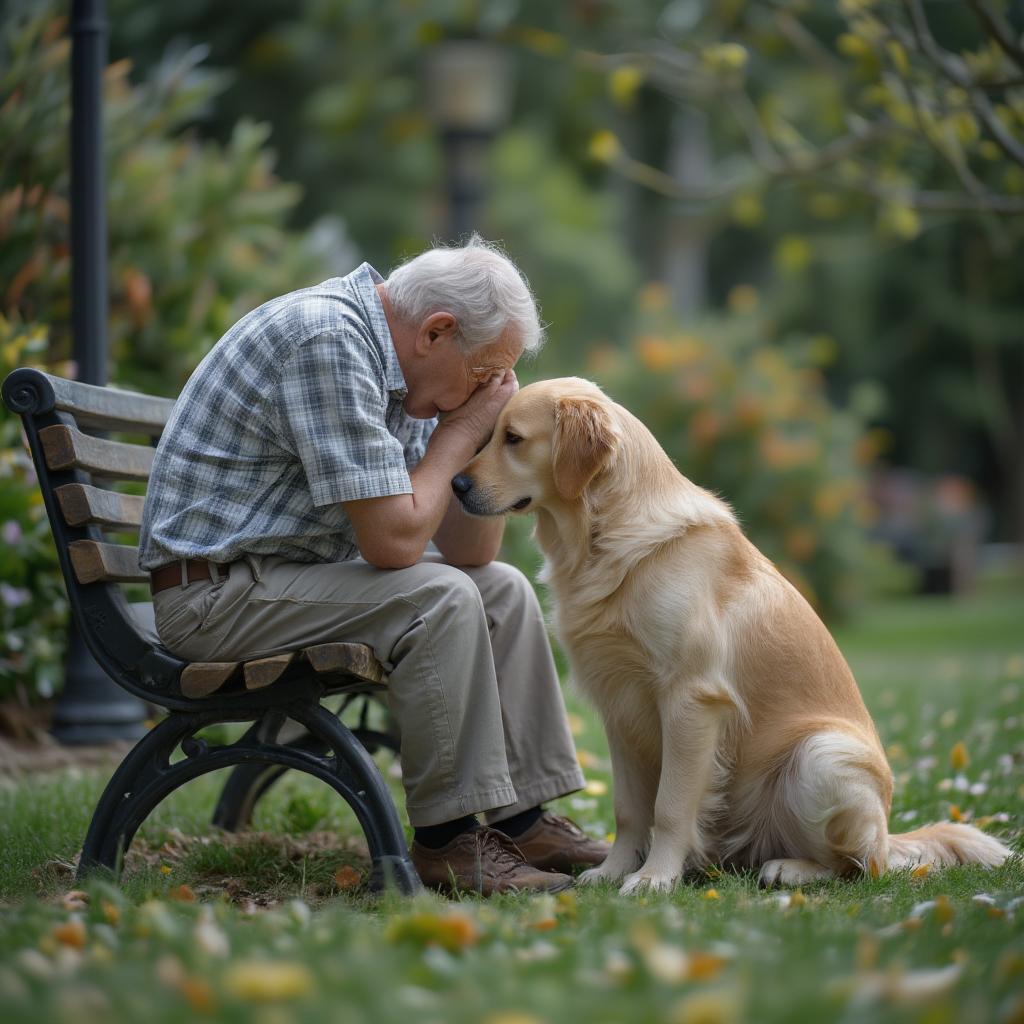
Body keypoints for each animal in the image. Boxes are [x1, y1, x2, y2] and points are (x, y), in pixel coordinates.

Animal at [452, 380, 1011, 892]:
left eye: (513, 438)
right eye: (488, 435)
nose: (455, 484)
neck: (604, 538)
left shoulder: (691, 699)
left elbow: (670, 805)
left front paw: (653, 878)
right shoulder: (618, 703)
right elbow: (629, 807)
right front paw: (612, 871)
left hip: (820, 756)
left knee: (860, 866)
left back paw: (789, 868)